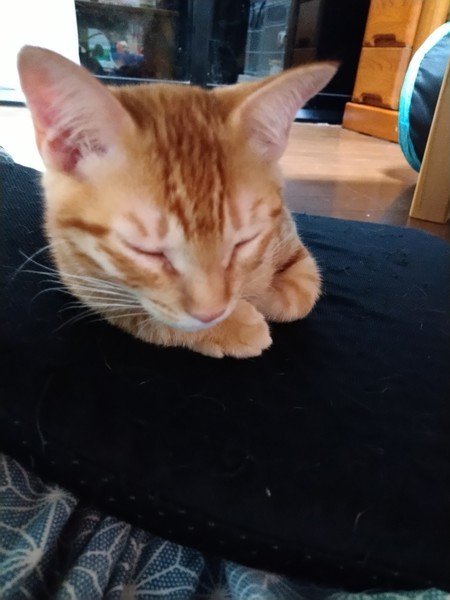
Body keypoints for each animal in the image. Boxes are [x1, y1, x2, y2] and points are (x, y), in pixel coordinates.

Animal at [17, 46, 337, 358]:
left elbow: (303, 291)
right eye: (146, 252)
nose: (212, 313)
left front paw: (260, 292)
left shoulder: (286, 230)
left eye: (244, 242)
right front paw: (234, 325)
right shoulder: (81, 278)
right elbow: (145, 315)